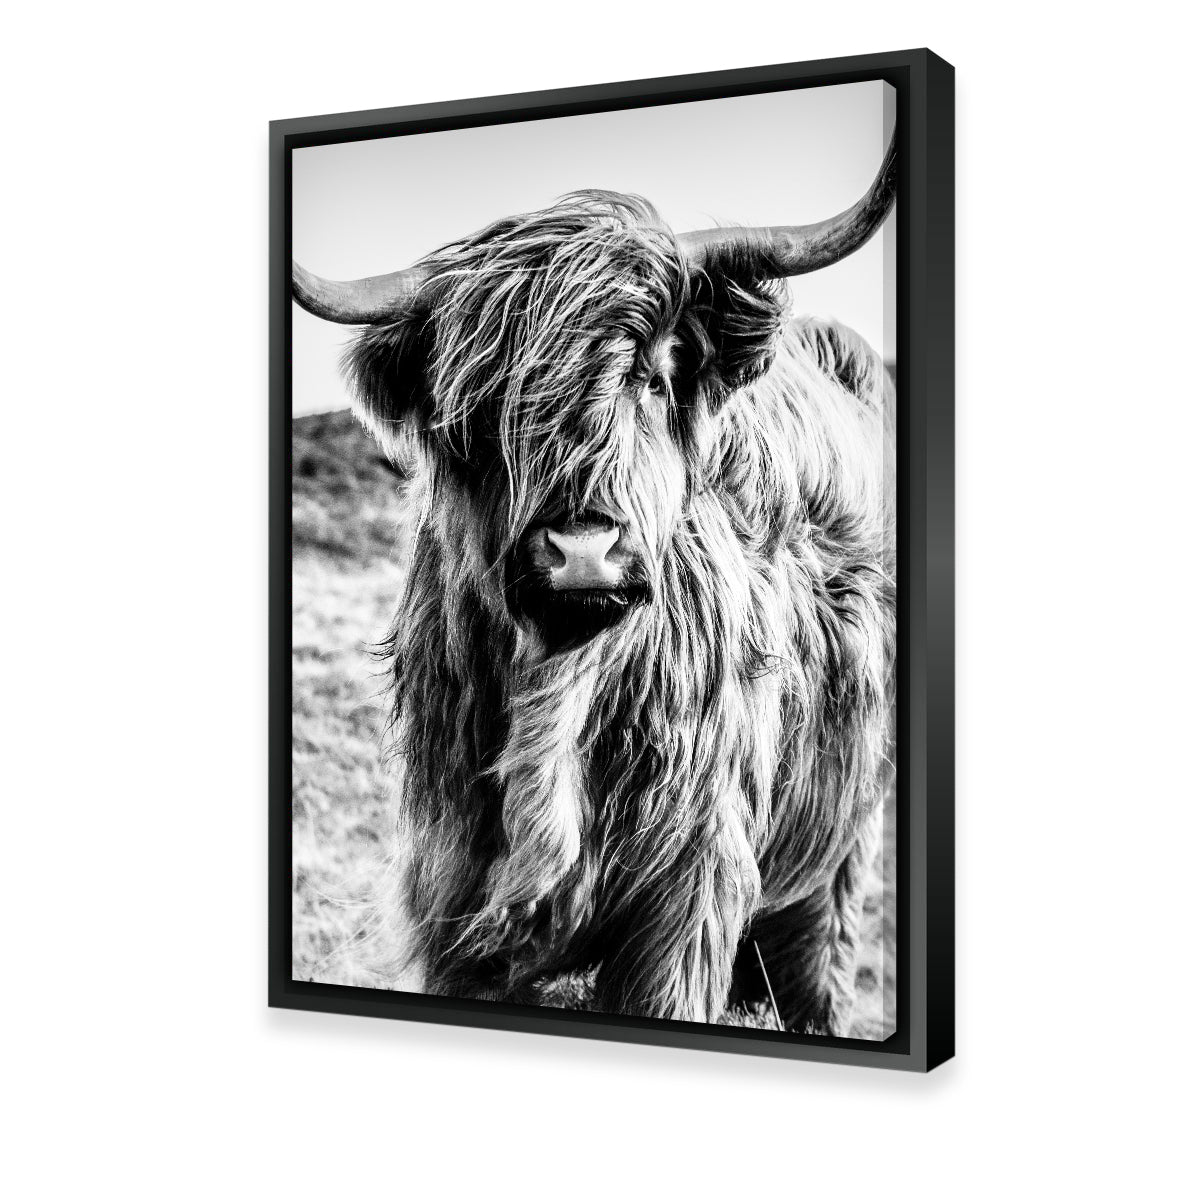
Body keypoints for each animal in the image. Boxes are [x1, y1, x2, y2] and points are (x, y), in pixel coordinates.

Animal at [292, 131, 897, 1034]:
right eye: (485, 409)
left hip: (839, 855)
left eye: (650, 379)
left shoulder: (687, 897)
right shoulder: (452, 895)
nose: (582, 549)